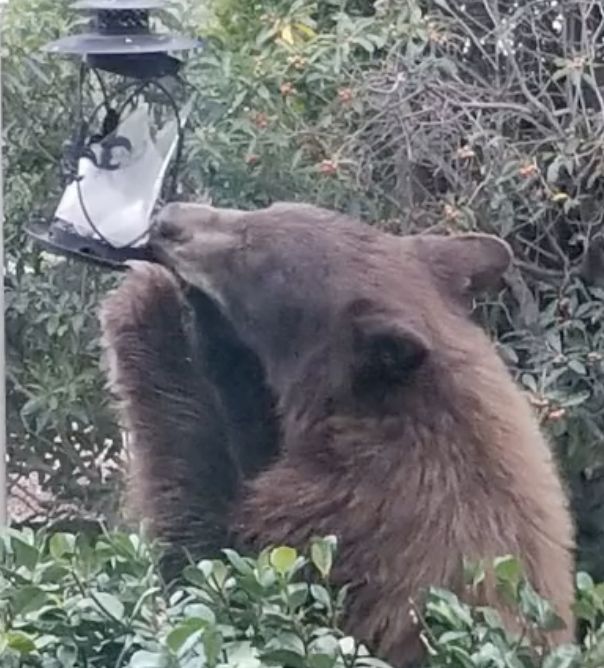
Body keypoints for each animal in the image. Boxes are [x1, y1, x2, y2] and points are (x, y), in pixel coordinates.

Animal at [99, 200, 576, 667]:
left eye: (257, 259)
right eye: (265, 211)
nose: (167, 219)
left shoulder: (348, 526)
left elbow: (208, 567)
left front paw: (147, 300)